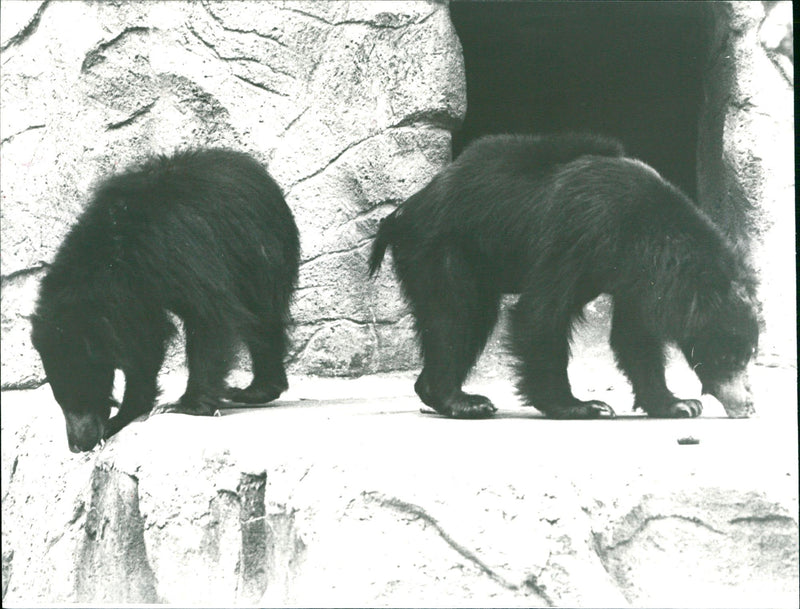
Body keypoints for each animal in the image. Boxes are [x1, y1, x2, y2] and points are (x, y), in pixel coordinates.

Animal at [31, 148, 300, 452]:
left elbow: (208, 316)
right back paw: (254, 390)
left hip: (259, 252)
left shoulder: (177, 252)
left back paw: (252, 390)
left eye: (83, 391)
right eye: (60, 397)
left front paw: (183, 406)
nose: (78, 444)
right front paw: (125, 415)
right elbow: (144, 342)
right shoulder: (135, 297)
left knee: (262, 317)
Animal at [369, 133, 759, 420]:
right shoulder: (578, 232)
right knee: (455, 316)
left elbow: (635, 336)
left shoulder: (635, 277)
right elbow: (541, 313)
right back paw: (465, 401)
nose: (747, 405)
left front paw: (677, 404)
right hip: (444, 247)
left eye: (748, 355)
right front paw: (585, 406)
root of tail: (401, 214)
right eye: (728, 358)